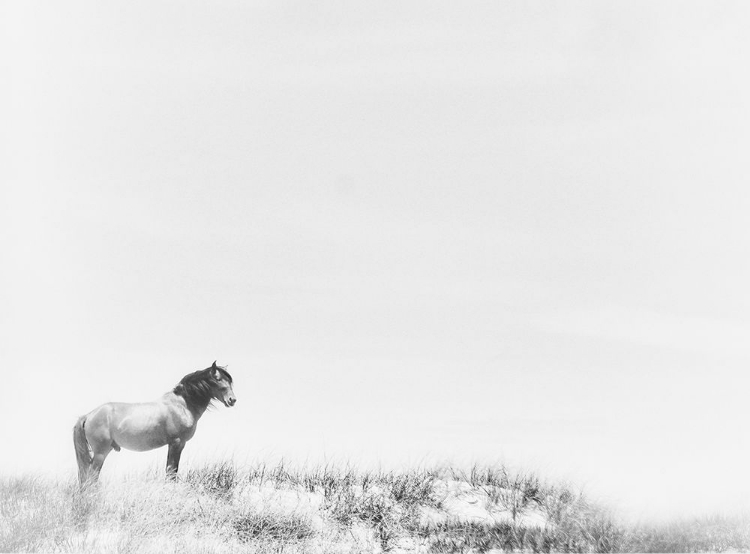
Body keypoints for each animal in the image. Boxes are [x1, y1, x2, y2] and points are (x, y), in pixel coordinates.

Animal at [73, 361, 236, 485]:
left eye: (229, 381)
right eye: (218, 379)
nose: (232, 400)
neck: (182, 404)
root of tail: (89, 415)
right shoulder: (177, 443)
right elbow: (171, 471)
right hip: (101, 453)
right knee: (91, 477)